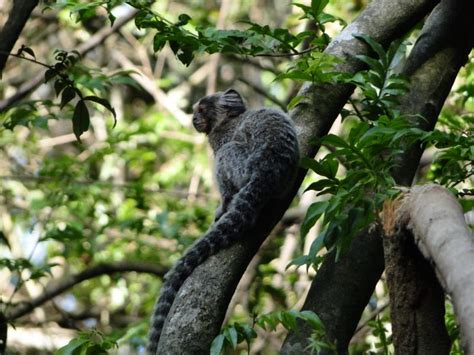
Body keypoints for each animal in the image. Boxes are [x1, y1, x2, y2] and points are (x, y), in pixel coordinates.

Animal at [148, 89, 298, 354]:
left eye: (200, 110)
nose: (193, 119)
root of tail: (266, 171)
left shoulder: (219, 139)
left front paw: (222, 206)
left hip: (241, 164)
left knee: (228, 153)